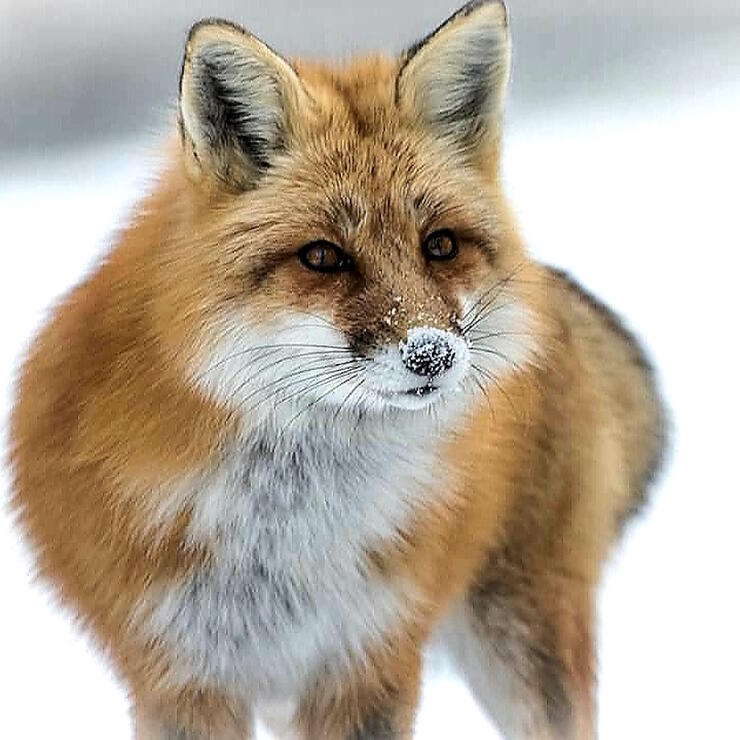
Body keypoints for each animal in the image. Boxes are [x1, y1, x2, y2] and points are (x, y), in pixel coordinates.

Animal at [9, 1, 667, 738]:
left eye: (440, 246)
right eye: (323, 257)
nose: (432, 354)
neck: (287, 532)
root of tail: (553, 288)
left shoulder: (370, 657)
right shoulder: (180, 676)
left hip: (523, 643)